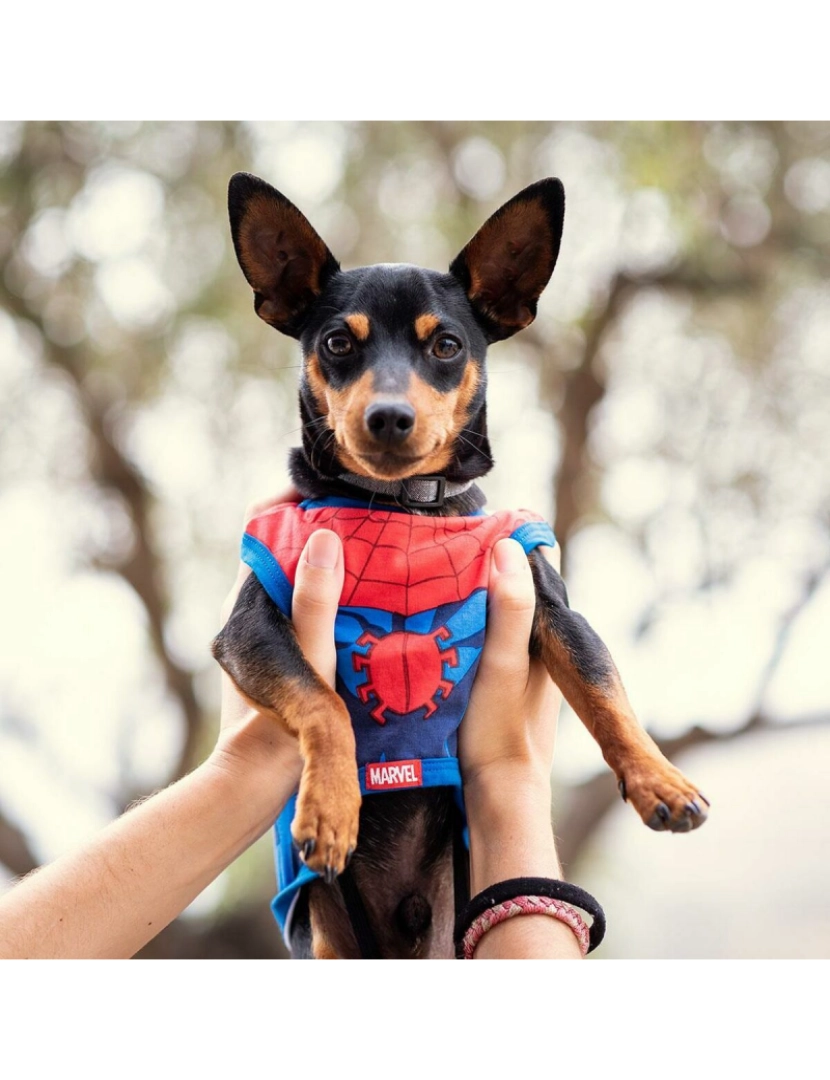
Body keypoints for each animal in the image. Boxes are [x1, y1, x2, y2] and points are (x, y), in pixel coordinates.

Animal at [211, 172, 708, 959]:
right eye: (336, 342)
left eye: (445, 345)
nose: (388, 417)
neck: (406, 508)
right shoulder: (249, 628)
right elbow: (322, 701)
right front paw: (329, 808)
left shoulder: (555, 611)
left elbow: (605, 695)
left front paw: (661, 781)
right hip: (328, 942)